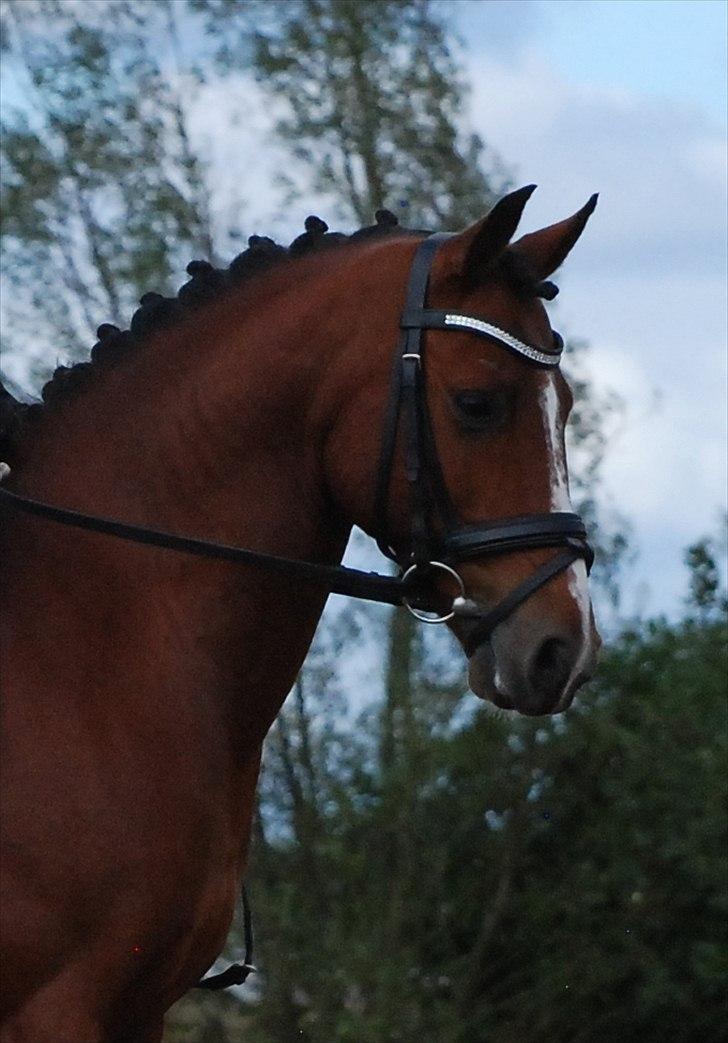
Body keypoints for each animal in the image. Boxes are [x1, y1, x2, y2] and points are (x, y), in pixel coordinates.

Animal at [0, 185, 600, 1042]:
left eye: (568, 405)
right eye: (477, 404)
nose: (562, 647)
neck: (82, 661)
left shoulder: (139, 1007)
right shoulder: (55, 1004)